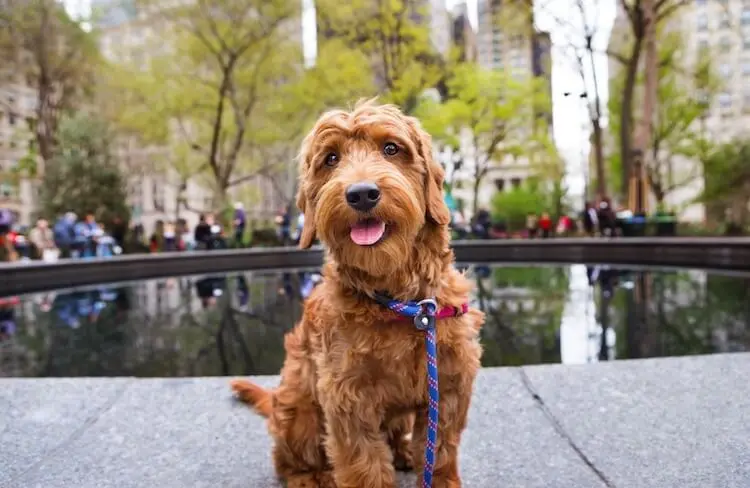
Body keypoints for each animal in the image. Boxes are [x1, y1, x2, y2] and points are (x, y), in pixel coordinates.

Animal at [232, 100, 484, 488]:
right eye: (331, 158)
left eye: (391, 148)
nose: (362, 193)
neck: (403, 303)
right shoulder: (348, 396)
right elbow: (364, 462)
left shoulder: (449, 385)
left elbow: (441, 450)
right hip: (299, 413)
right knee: (287, 459)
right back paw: (310, 477)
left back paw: (403, 453)